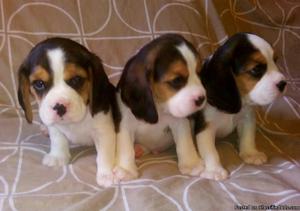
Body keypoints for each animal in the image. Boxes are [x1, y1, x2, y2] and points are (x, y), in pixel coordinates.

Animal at [17, 37, 119, 186]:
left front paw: (106, 174)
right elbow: (58, 139)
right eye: (39, 83)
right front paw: (57, 157)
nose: (60, 106)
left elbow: (105, 153)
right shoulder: (54, 126)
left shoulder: (104, 130)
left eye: (76, 79)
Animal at [114, 33, 206, 181]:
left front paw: (192, 164)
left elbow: (185, 142)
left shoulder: (180, 122)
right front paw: (126, 169)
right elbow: (125, 145)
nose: (201, 98)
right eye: (176, 80)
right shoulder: (124, 123)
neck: (160, 107)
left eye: (199, 73)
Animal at [193, 32, 288, 180]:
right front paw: (215, 170)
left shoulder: (247, 118)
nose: (283, 83)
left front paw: (251, 154)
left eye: (276, 61)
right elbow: (209, 150)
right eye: (256, 69)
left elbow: (248, 137)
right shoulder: (205, 127)